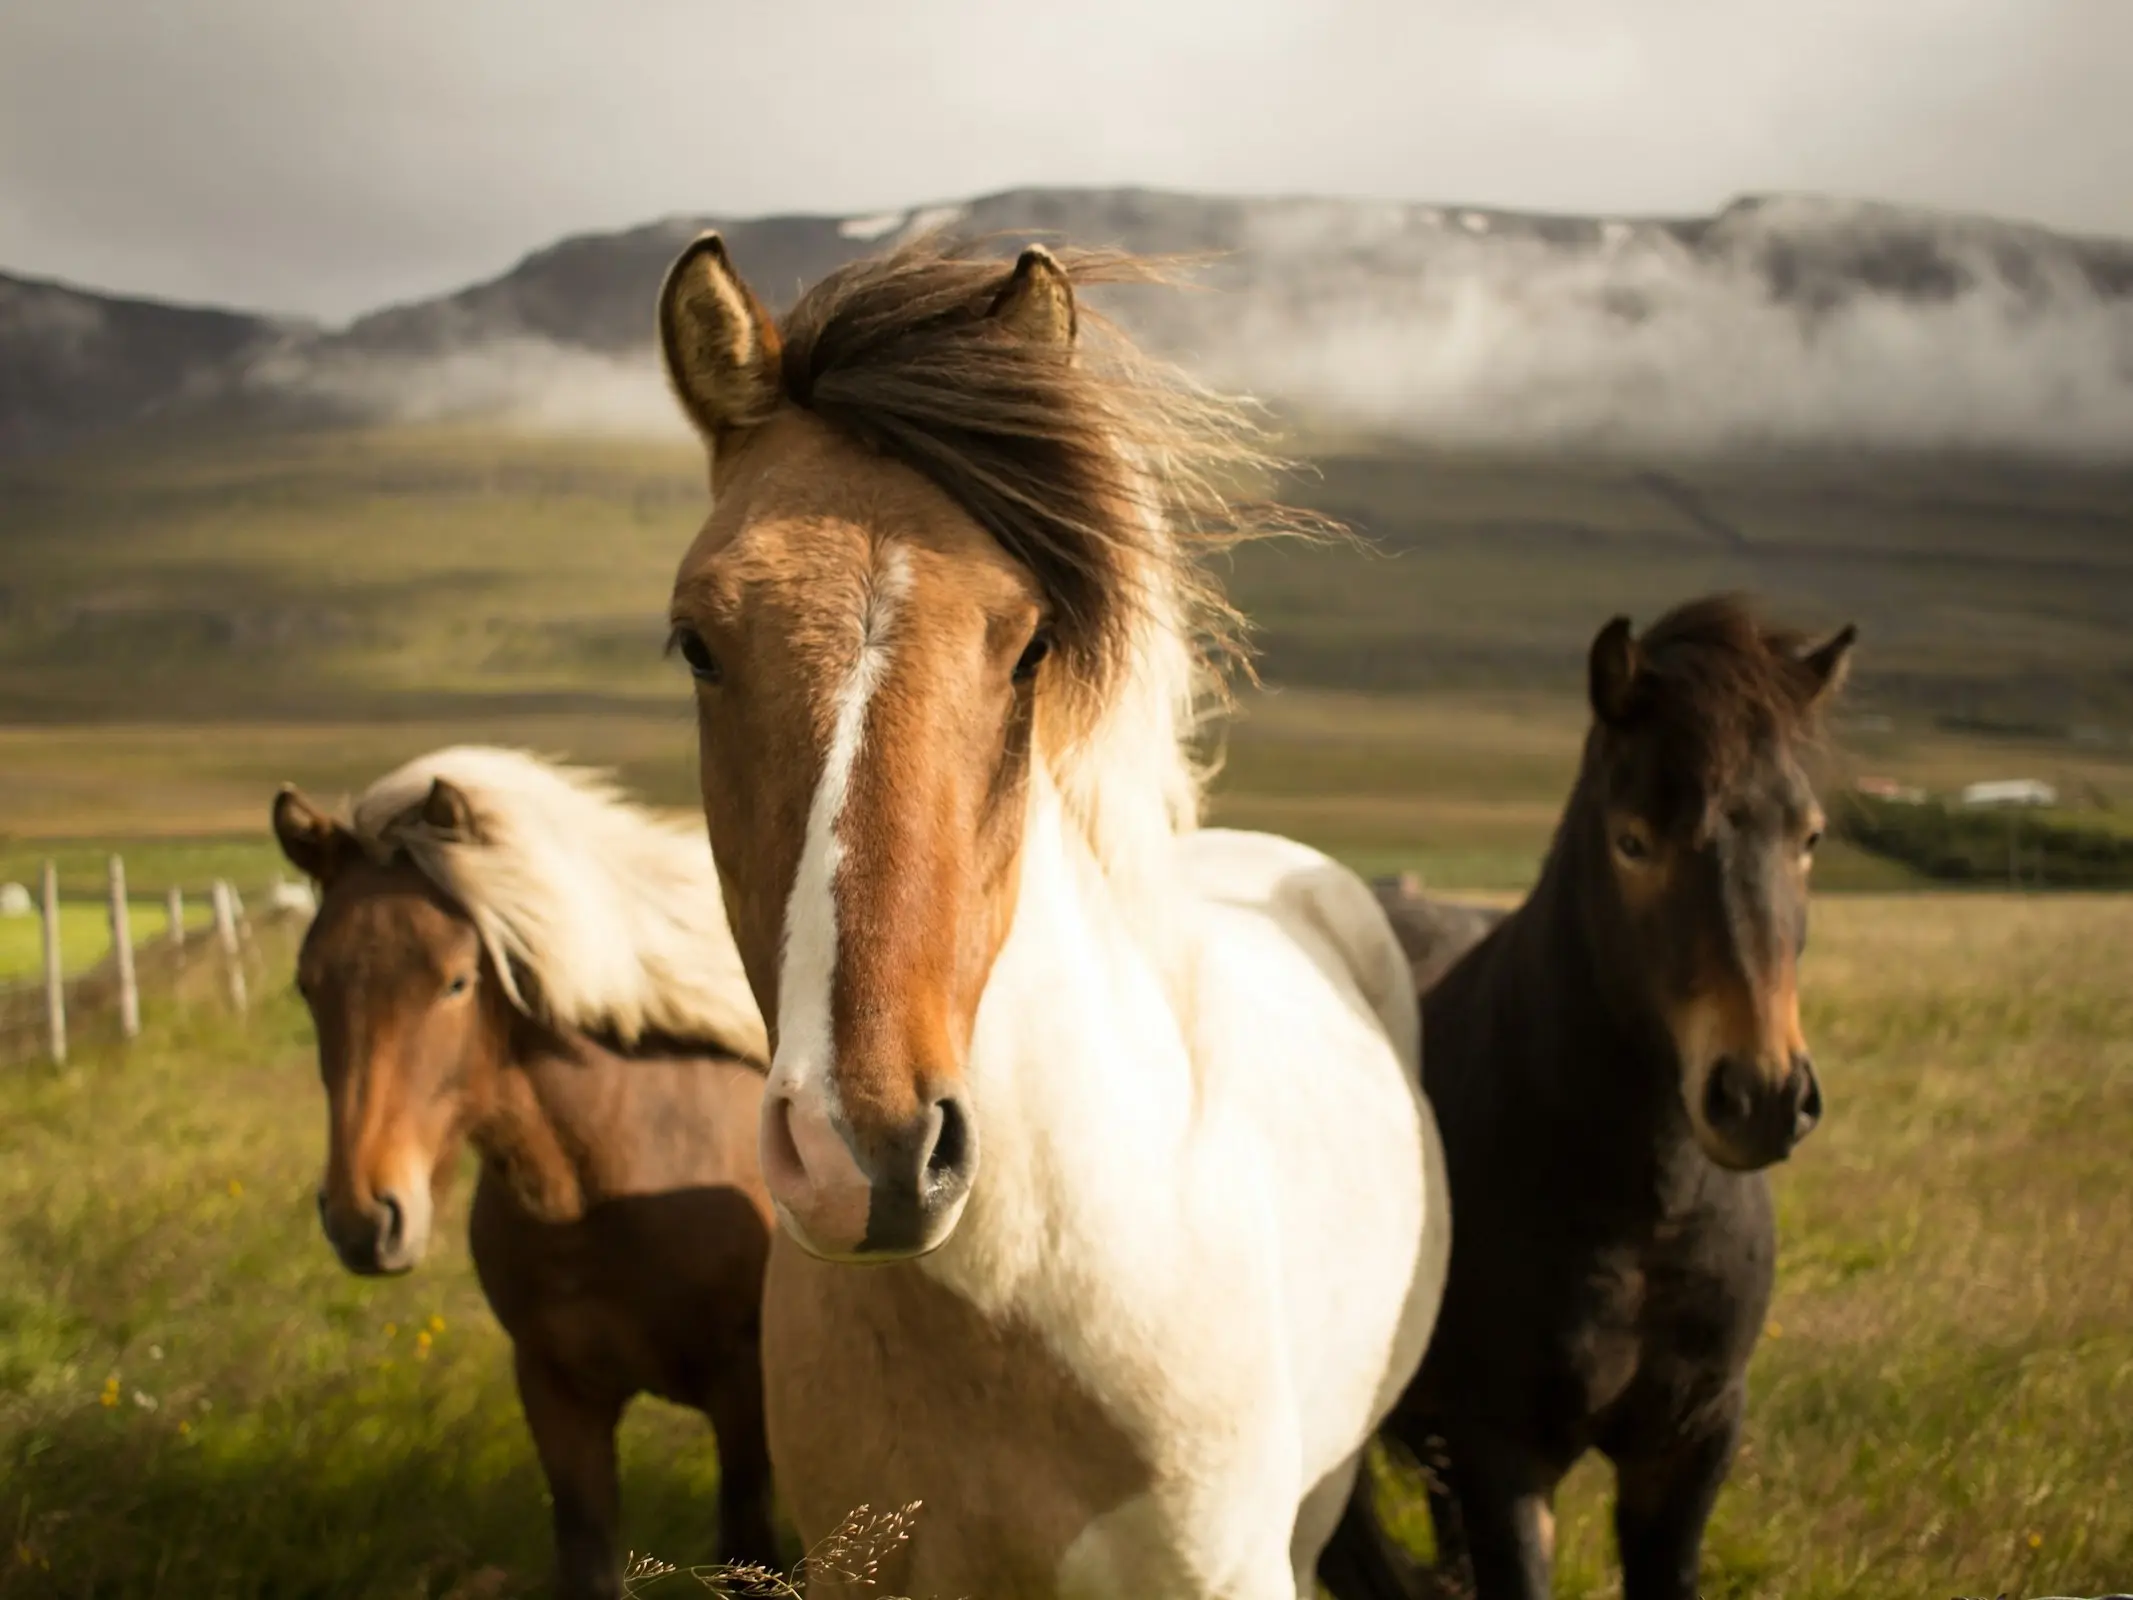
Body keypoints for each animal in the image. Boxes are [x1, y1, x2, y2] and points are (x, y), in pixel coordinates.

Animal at [270, 750, 780, 1600]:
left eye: (455, 981)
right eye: (308, 984)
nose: (364, 1218)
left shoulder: (744, 1397)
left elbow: (755, 1554)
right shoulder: (555, 1392)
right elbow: (587, 1557)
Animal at [1322, 597, 1859, 1600]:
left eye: (1807, 837)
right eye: (1633, 840)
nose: (1761, 1095)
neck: (1644, 1211)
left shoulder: (1688, 1445)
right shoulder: (1502, 1454)